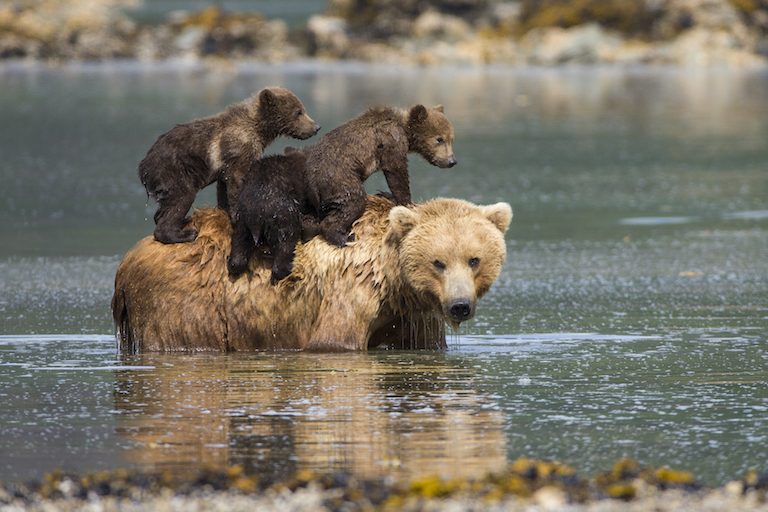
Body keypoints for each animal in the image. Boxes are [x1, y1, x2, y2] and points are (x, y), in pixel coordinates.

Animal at [112, 195, 512, 352]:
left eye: (474, 259)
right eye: (437, 262)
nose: (460, 305)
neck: (393, 280)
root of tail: (126, 262)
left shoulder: (413, 316)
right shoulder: (352, 291)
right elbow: (334, 341)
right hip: (182, 303)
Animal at [137, 86, 320, 244]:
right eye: (298, 112)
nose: (316, 127)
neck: (259, 129)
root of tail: (143, 166)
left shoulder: (226, 165)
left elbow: (223, 187)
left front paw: (225, 212)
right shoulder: (239, 150)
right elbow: (236, 181)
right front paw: (238, 216)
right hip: (174, 171)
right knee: (181, 199)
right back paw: (183, 233)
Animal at [300, 104, 457, 247]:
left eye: (451, 138)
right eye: (439, 139)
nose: (452, 161)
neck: (405, 130)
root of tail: (312, 182)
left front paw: (387, 194)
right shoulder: (390, 141)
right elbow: (396, 171)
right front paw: (408, 202)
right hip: (339, 178)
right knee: (353, 201)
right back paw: (343, 237)